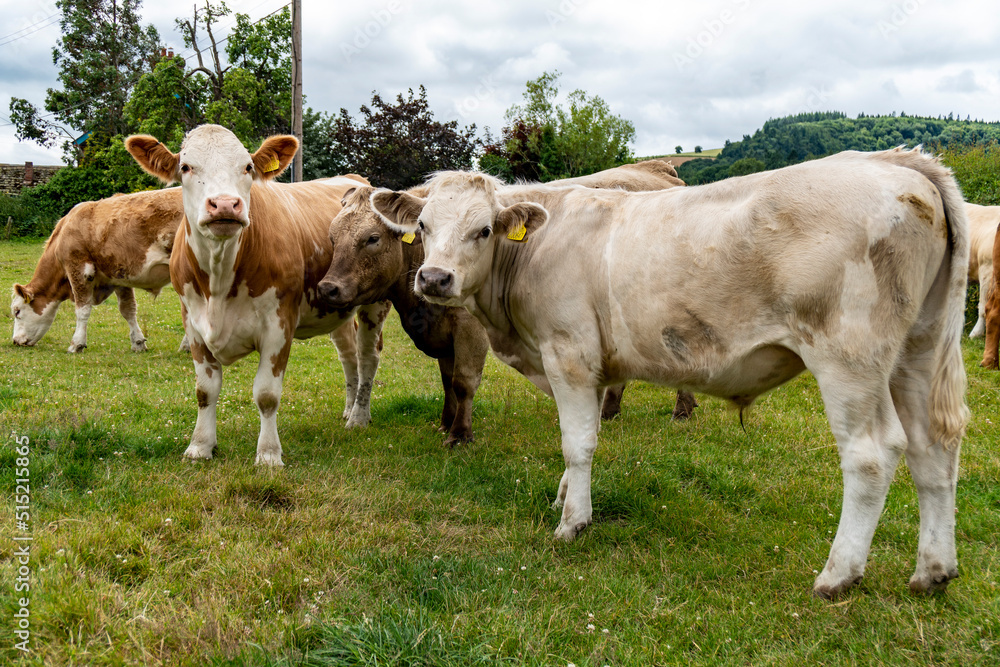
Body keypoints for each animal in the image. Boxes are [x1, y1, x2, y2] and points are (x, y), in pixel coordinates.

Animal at [10, 189, 186, 354]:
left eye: (17, 311)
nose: (15, 341)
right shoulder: (119, 276)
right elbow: (128, 309)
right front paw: (138, 343)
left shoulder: (78, 269)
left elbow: (82, 310)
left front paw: (77, 344)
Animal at [125, 126, 390, 470]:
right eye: (186, 167)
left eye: (247, 167)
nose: (225, 205)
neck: (219, 279)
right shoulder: (193, 324)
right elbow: (205, 391)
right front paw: (200, 446)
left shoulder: (278, 326)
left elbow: (266, 394)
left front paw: (268, 454)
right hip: (336, 304)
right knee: (348, 354)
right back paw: (348, 408)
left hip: (376, 301)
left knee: (368, 356)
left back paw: (359, 416)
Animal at [372, 147, 972, 600]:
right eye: (422, 225)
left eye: (483, 229)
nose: (435, 278)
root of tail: (896, 162)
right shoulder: (578, 366)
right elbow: (579, 435)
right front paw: (564, 497)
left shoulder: (570, 354)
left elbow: (577, 443)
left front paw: (573, 522)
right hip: (918, 349)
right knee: (933, 448)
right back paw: (932, 571)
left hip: (849, 357)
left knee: (872, 455)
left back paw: (838, 574)